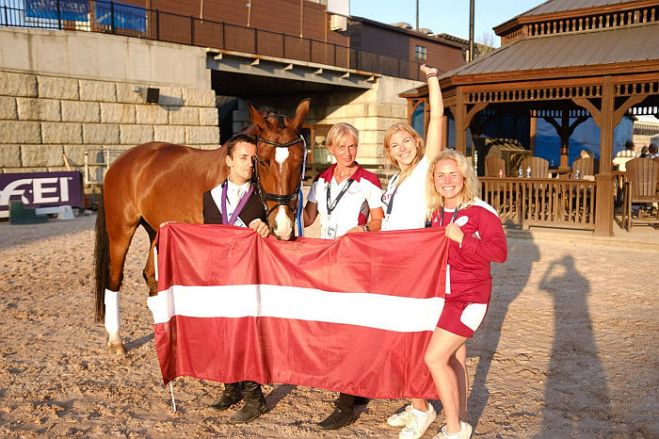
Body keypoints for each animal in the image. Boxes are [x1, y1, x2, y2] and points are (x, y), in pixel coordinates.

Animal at [94, 99, 310, 354]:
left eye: (299, 162)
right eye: (263, 161)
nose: (283, 226)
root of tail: (121, 161)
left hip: (155, 229)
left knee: (151, 277)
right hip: (121, 229)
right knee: (114, 279)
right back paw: (116, 340)